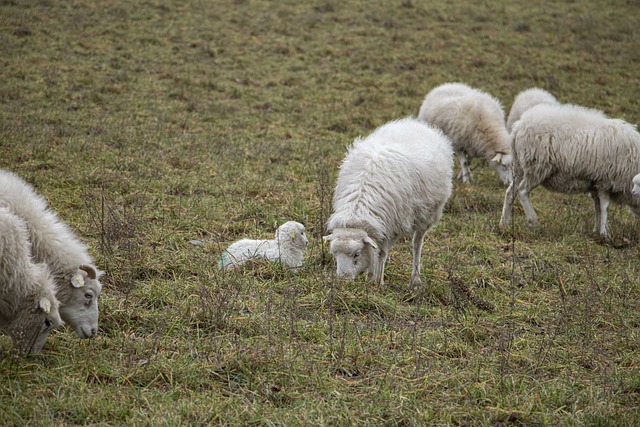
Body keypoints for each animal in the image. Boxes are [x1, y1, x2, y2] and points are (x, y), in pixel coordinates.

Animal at [324, 117, 456, 288]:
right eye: (334, 254)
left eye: (356, 254)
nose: (343, 280)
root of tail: (416, 124)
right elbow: (373, 250)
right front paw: (370, 277)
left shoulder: (394, 225)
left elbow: (381, 252)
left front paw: (377, 281)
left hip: (428, 214)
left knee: (417, 243)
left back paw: (416, 279)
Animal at [500, 102, 640, 239]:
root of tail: (519, 126)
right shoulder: (604, 180)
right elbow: (604, 206)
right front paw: (604, 233)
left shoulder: (595, 183)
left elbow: (598, 206)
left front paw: (596, 230)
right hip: (536, 166)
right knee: (523, 191)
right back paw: (533, 221)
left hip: (519, 167)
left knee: (510, 193)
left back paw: (504, 224)